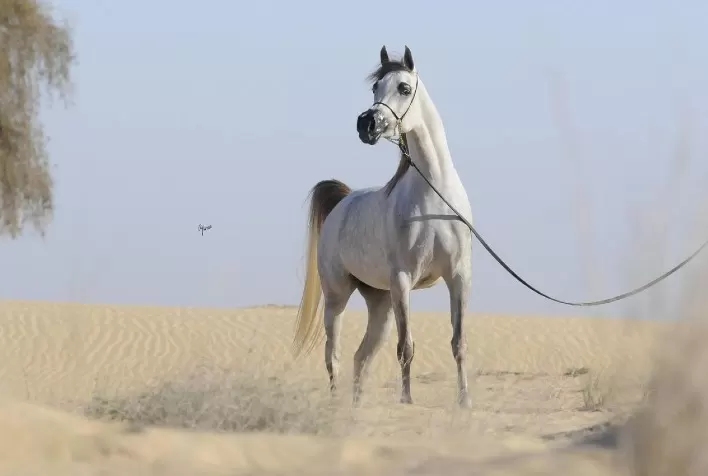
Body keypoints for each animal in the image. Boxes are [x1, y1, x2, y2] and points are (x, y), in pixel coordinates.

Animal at [292, 45, 474, 408]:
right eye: (375, 87)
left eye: (404, 87)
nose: (367, 124)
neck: (434, 198)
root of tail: (343, 202)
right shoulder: (403, 280)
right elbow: (406, 347)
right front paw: (406, 401)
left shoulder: (458, 276)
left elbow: (458, 342)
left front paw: (464, 403)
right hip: (337, 298)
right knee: (333, 355)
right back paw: (336, 404)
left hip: (380, 303)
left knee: (361, 357)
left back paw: (356, 407)